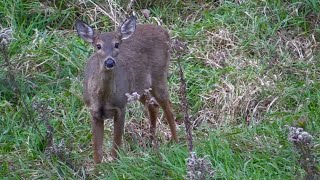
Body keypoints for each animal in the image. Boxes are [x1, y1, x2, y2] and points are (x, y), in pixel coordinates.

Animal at [76, 16, 179, 164]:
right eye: (98, 46)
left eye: (117, 44)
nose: (109, 62)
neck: (103, 98)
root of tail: (164, 31)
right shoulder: (94, 112)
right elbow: (97, 153)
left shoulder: (120, 107)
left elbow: (116, 146)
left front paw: (115, 166)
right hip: (140, 88)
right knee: (153, 105)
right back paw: (151, 143)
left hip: (159, 75)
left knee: (168, 108)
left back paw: (177, 142)